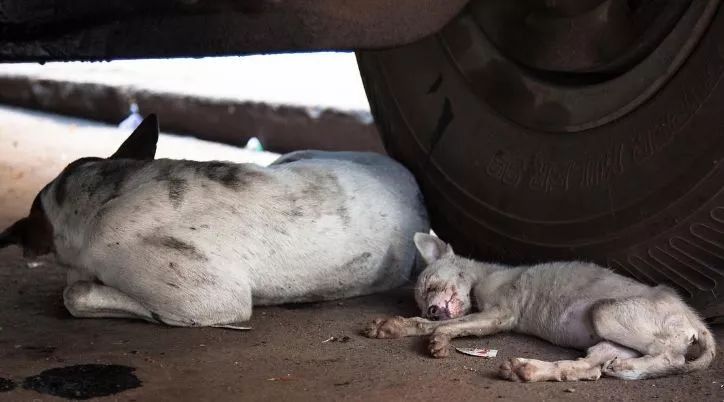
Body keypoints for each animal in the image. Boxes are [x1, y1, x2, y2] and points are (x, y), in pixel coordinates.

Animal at [364, 231, 716, 382]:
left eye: (430, 287)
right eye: (423, 303)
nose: (431, 309)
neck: (482, 280)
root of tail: (694, 319)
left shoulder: (499, 314)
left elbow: (448, 325)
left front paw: (422, 332)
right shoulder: (489, 314)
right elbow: (446, 323)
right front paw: (403, 325)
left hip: (605, 314)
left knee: (672, 357)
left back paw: (634, 369)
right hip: (608, 341)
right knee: (589, 369)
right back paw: (528, 370)